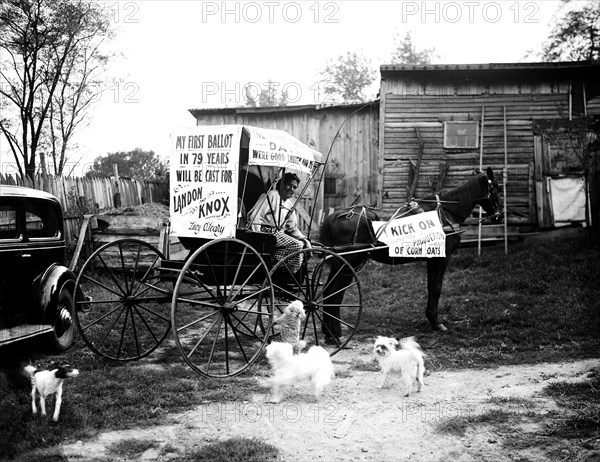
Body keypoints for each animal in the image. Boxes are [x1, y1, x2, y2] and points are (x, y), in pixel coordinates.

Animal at [322, 168, 504, 334]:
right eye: (495, 189)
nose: (500, 215)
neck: (444, 213)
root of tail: (336, 215)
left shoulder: (432, 259)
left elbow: (431, 287)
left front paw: (431, 318)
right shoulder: (442, 258)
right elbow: (437, 287)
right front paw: (436, 321)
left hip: (339, 263)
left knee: (327, 291)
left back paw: (328, 333)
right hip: (349, 264)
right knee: (335, 295)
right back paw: (335, 335)